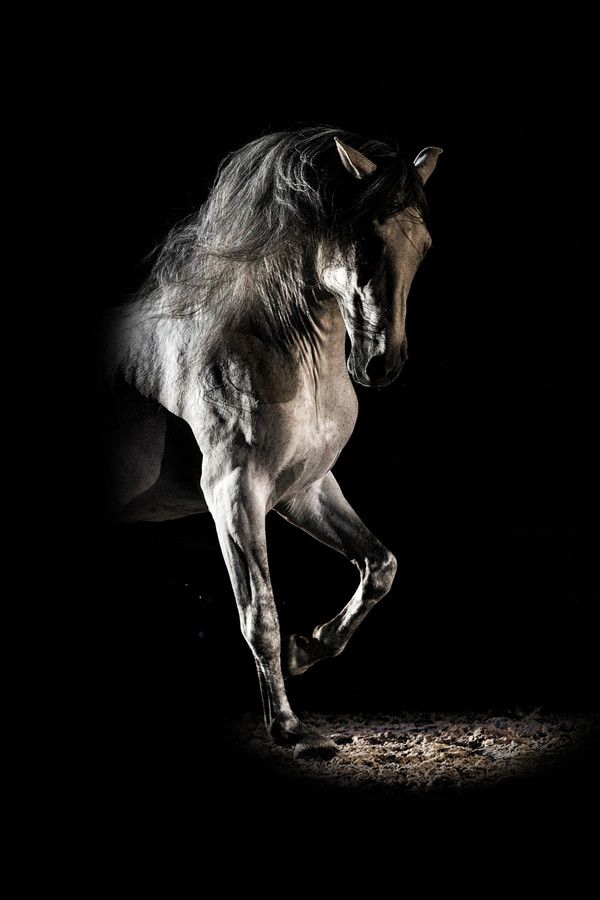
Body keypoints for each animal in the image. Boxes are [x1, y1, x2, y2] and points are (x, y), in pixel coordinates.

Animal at [104, 126, 442, 759]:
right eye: (364, 240)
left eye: (424, 245)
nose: (381, 365)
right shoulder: (234, 495)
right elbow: (258, 612)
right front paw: (290, 728)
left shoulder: (305, 490)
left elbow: (379, 565)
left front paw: (309, 649)